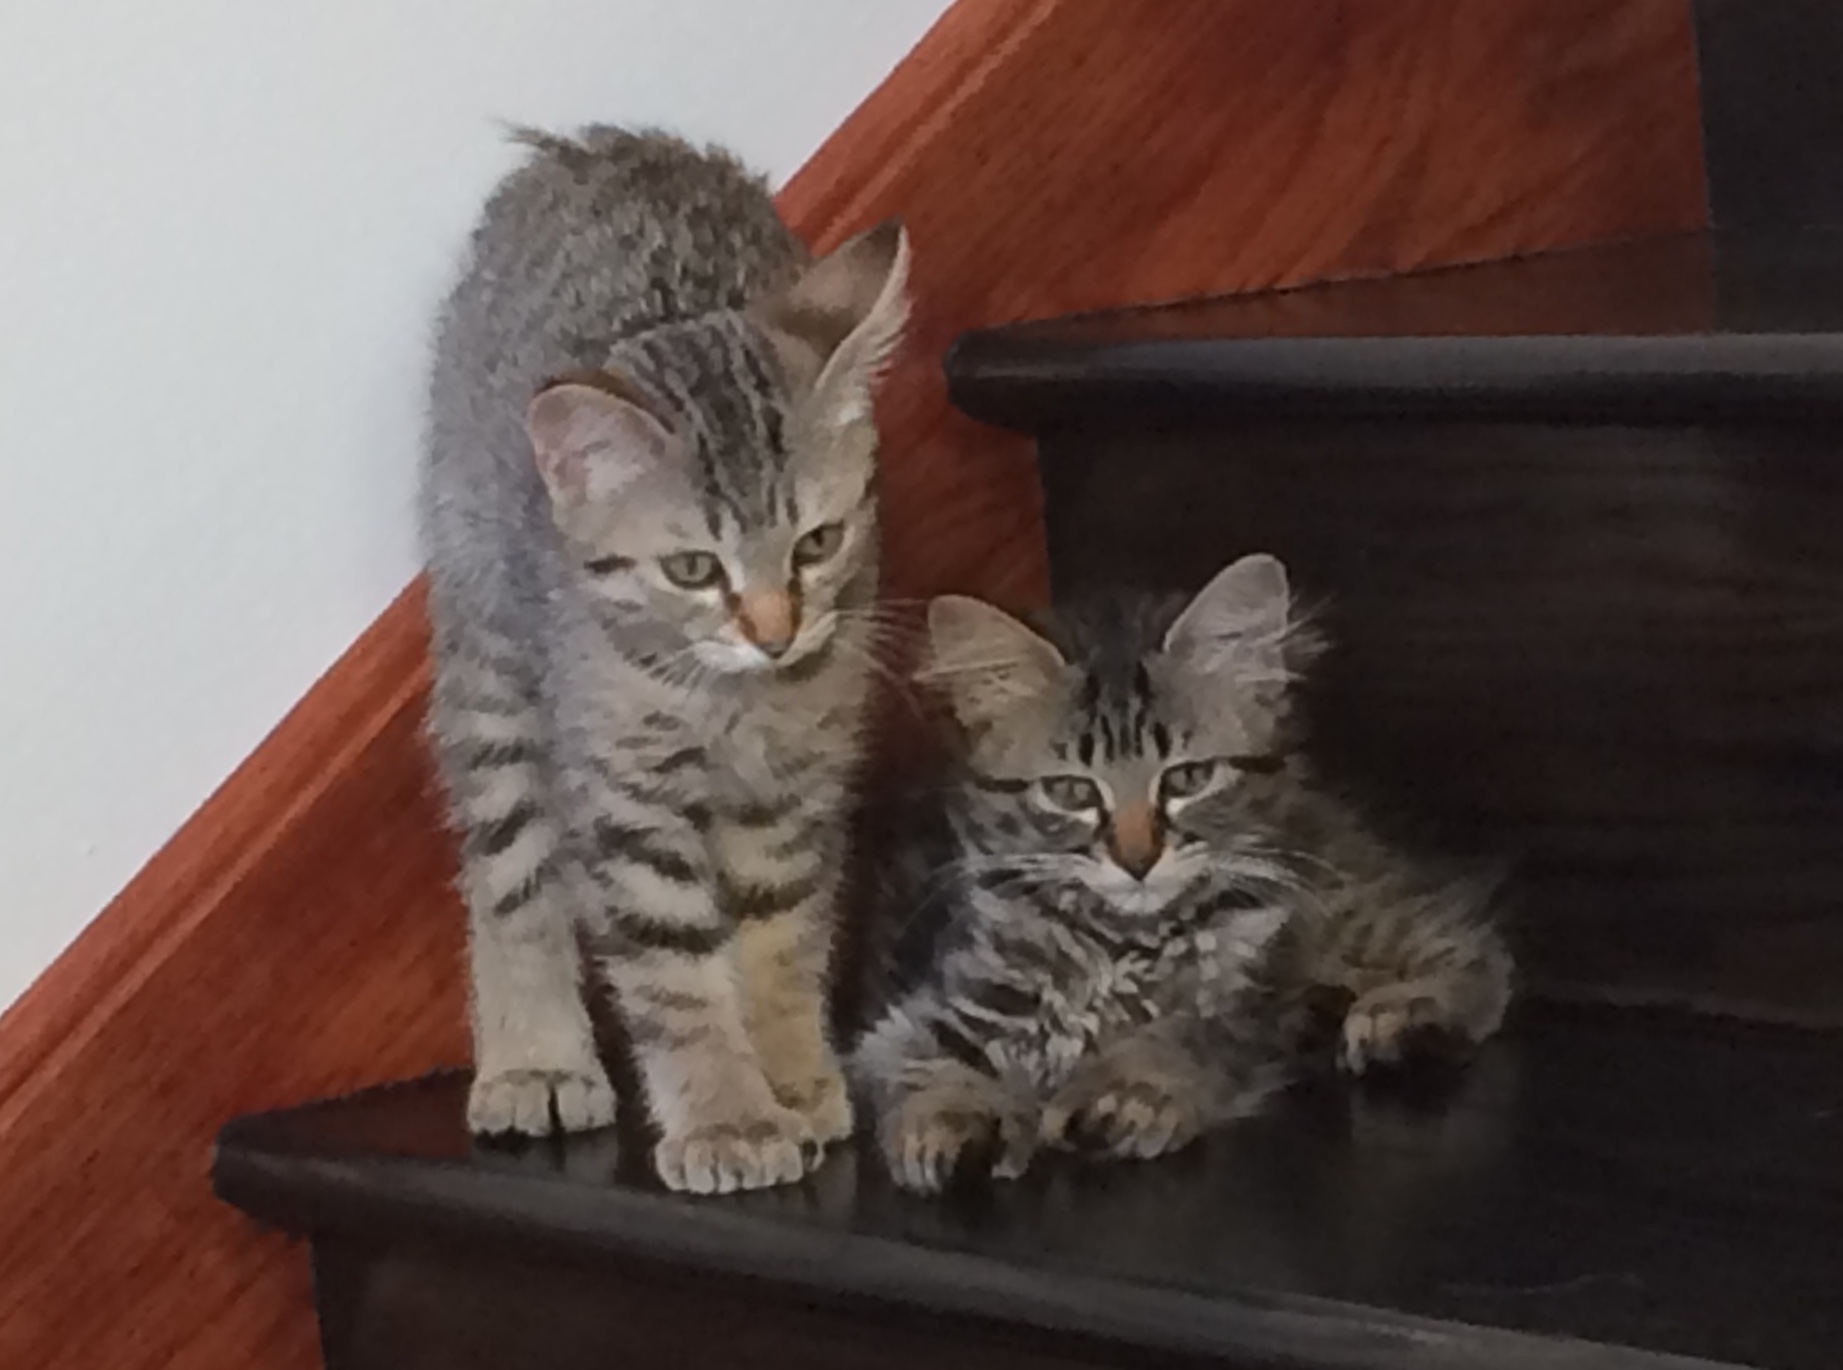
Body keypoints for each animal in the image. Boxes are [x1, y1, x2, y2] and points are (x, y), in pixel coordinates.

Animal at [420, 130, 906, 1202]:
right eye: (692, 569)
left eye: (817, 543)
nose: (775, 630)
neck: (727, 701)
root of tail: (587, 149)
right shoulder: (624, 792)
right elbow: (673, 963)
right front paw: (727, 1117)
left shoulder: (795, 781)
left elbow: (778, 934)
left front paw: (791, 1079)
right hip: (491, 653)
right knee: (507, 866)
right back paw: (536, 1058)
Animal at [847, 553, 1511, 1194]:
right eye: (1070, 792)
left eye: (1187, 779)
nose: (1137, 861)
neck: (1123, 945)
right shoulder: (923, 1013)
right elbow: (925, 1065)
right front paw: (949, 1115)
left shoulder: (1250, 1001)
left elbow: (1183, 1035)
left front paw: (1125, 1087)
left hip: (1342, 900)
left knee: (1467, 940)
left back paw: (1407, 1014)